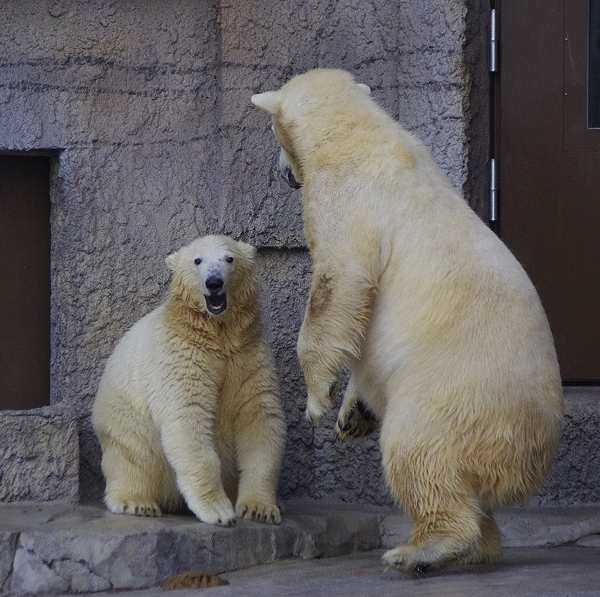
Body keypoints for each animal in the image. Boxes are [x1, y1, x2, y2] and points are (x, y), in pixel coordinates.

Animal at [93, 235, 286, 524]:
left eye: (229, 258)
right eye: (197, 260)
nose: (214, 282)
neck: (217, 335)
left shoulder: (248, 355)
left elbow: (259, 417)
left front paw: (258, 509)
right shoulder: (181, 356)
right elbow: (188, 415)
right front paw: (219, 510)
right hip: (125, 421)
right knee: (134, 457)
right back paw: (138, 502)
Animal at [252, 68, 564, 572]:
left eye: (274, 134)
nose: (283, 175)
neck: (357, 133)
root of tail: (531, 455)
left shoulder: (347, 200)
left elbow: (340, 282)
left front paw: (318, 399)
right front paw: (352, 414)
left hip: (453, 394)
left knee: (418, 451)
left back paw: (421, 549)